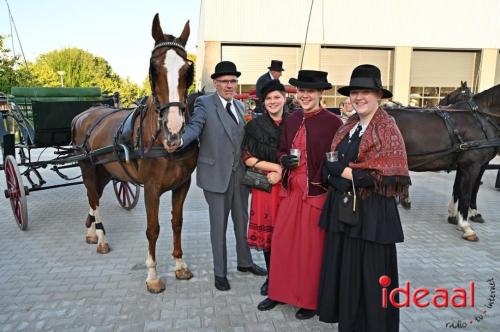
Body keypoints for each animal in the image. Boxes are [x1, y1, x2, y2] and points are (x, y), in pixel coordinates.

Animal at [71, 14, 198, 292]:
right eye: (153, 68)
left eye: (187, 71)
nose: (174, 130)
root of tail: (84, 114)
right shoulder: (151, 188)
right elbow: (153, 229)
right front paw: (153, 276)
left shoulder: (182, 184)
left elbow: (177, 222)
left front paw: (180, 265)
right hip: (88, 167)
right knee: (93, 199)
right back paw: (101, 239)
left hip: (105, 171)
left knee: (93, 196)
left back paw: (90, 232)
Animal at [386, 84, 500, 241]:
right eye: (464, 94)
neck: (481, 120)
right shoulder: (473, 166)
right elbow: (468, 192)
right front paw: (466, 225)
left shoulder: (463, 165)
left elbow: (457, 189)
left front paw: (454, 216)